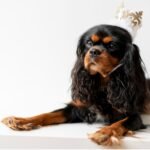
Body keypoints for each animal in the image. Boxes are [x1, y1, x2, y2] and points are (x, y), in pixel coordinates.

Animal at [1, 24, 150, 145]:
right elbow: (46, 115)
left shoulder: (133, 116)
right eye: (89, 43)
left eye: (112, 45)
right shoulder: (77, 108)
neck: (102, 83)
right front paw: (21, 121)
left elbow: (119, 124)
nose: (94, 51)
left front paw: (103, 133)